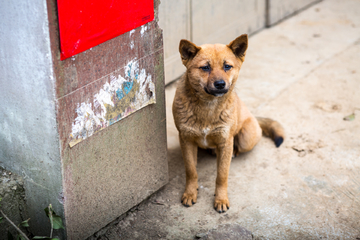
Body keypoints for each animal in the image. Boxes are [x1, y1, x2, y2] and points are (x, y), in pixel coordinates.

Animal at [173, 34, 286, 214]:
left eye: (227, 66)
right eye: (205, 68)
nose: (220, 84)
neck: (208, 107)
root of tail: (253, 116)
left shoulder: (225, 141)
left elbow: (222, 175)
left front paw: (221, 199)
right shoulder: (186, 140)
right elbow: (191, 171)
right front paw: (190, 193)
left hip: (246, 137)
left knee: (237, 146)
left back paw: (234, 152)